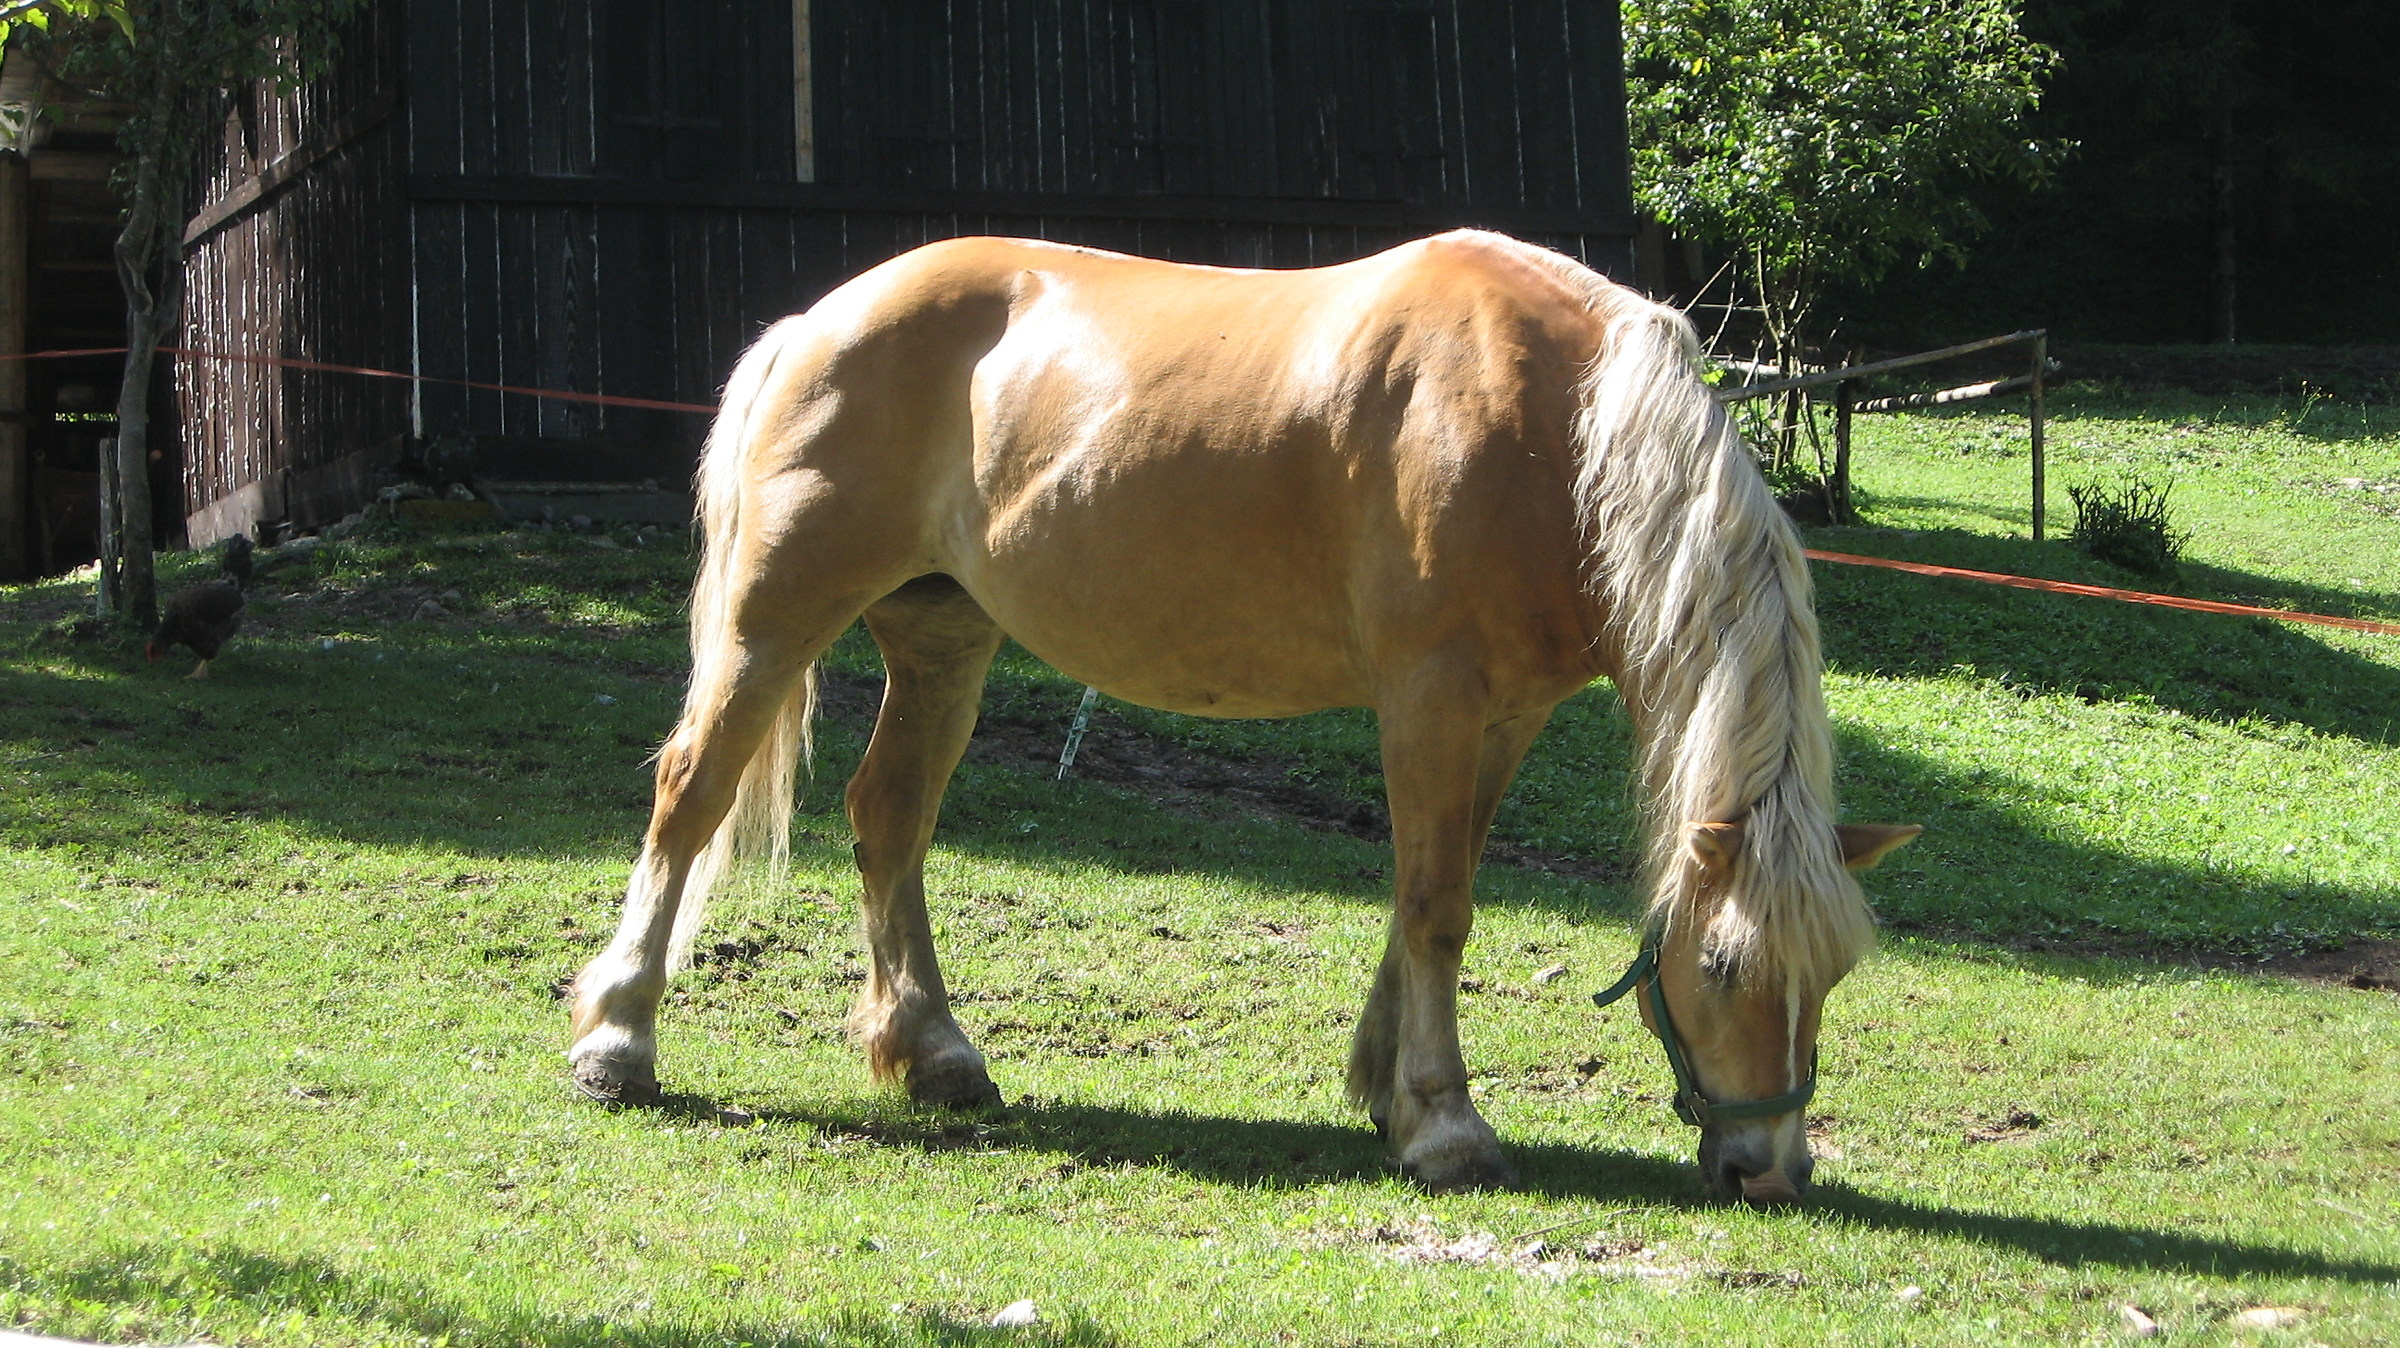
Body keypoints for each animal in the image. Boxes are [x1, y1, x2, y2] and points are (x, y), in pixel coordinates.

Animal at [566, 230, 1919, 1202]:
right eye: (1724, 964)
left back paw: (936, 1050)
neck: (1559, 427)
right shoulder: (1431, 693)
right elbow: (1438, 906)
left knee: (889, 817)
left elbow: (1434, 889)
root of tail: (818, 320)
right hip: (776, 620)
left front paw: (1386, 1089)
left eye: (1836, 971)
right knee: (690, 794)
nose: (1770, 1171)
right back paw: (619, 1039)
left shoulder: (1507, 715)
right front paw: (1446, 1125)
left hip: (943, 641)